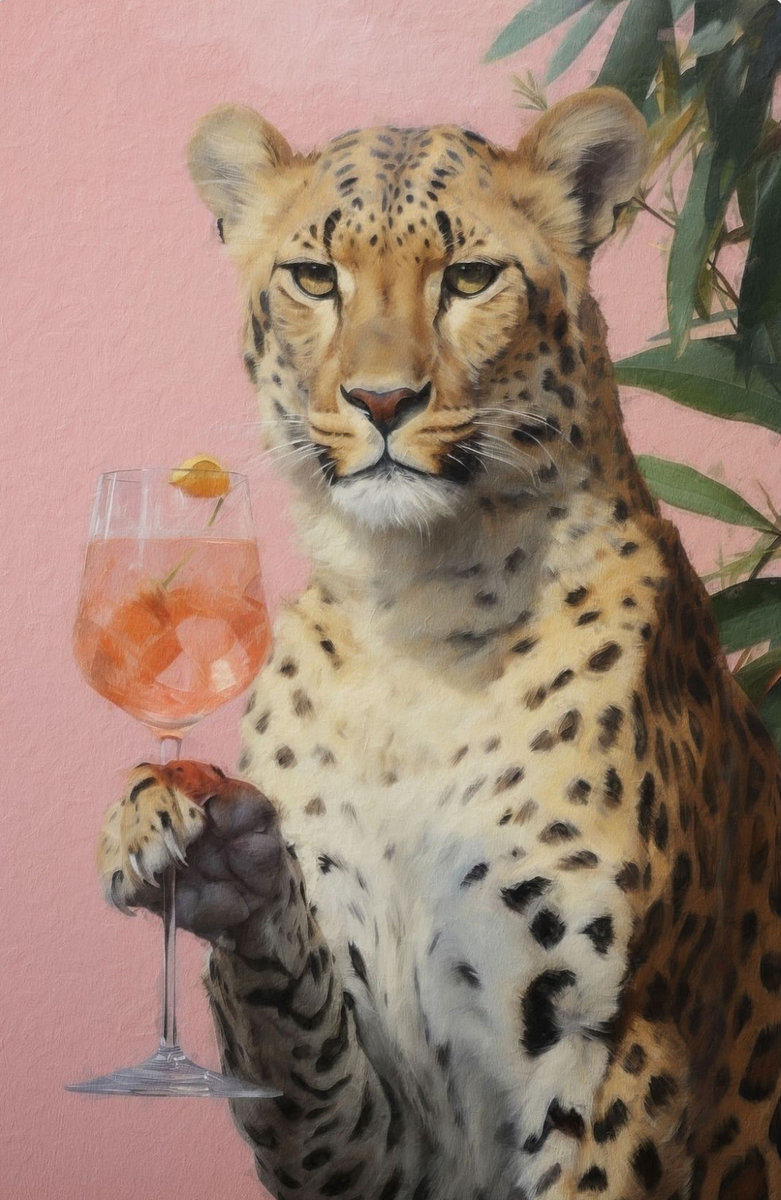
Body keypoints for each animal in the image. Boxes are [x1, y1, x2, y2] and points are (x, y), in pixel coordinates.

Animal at [97, 89, 781, 1199]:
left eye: (469, 278)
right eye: (313, 278)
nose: (382, 401)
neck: (412, 625)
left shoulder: (616, 1044)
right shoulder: (378, 1145)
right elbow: (290, 1023)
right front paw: (205, 843)